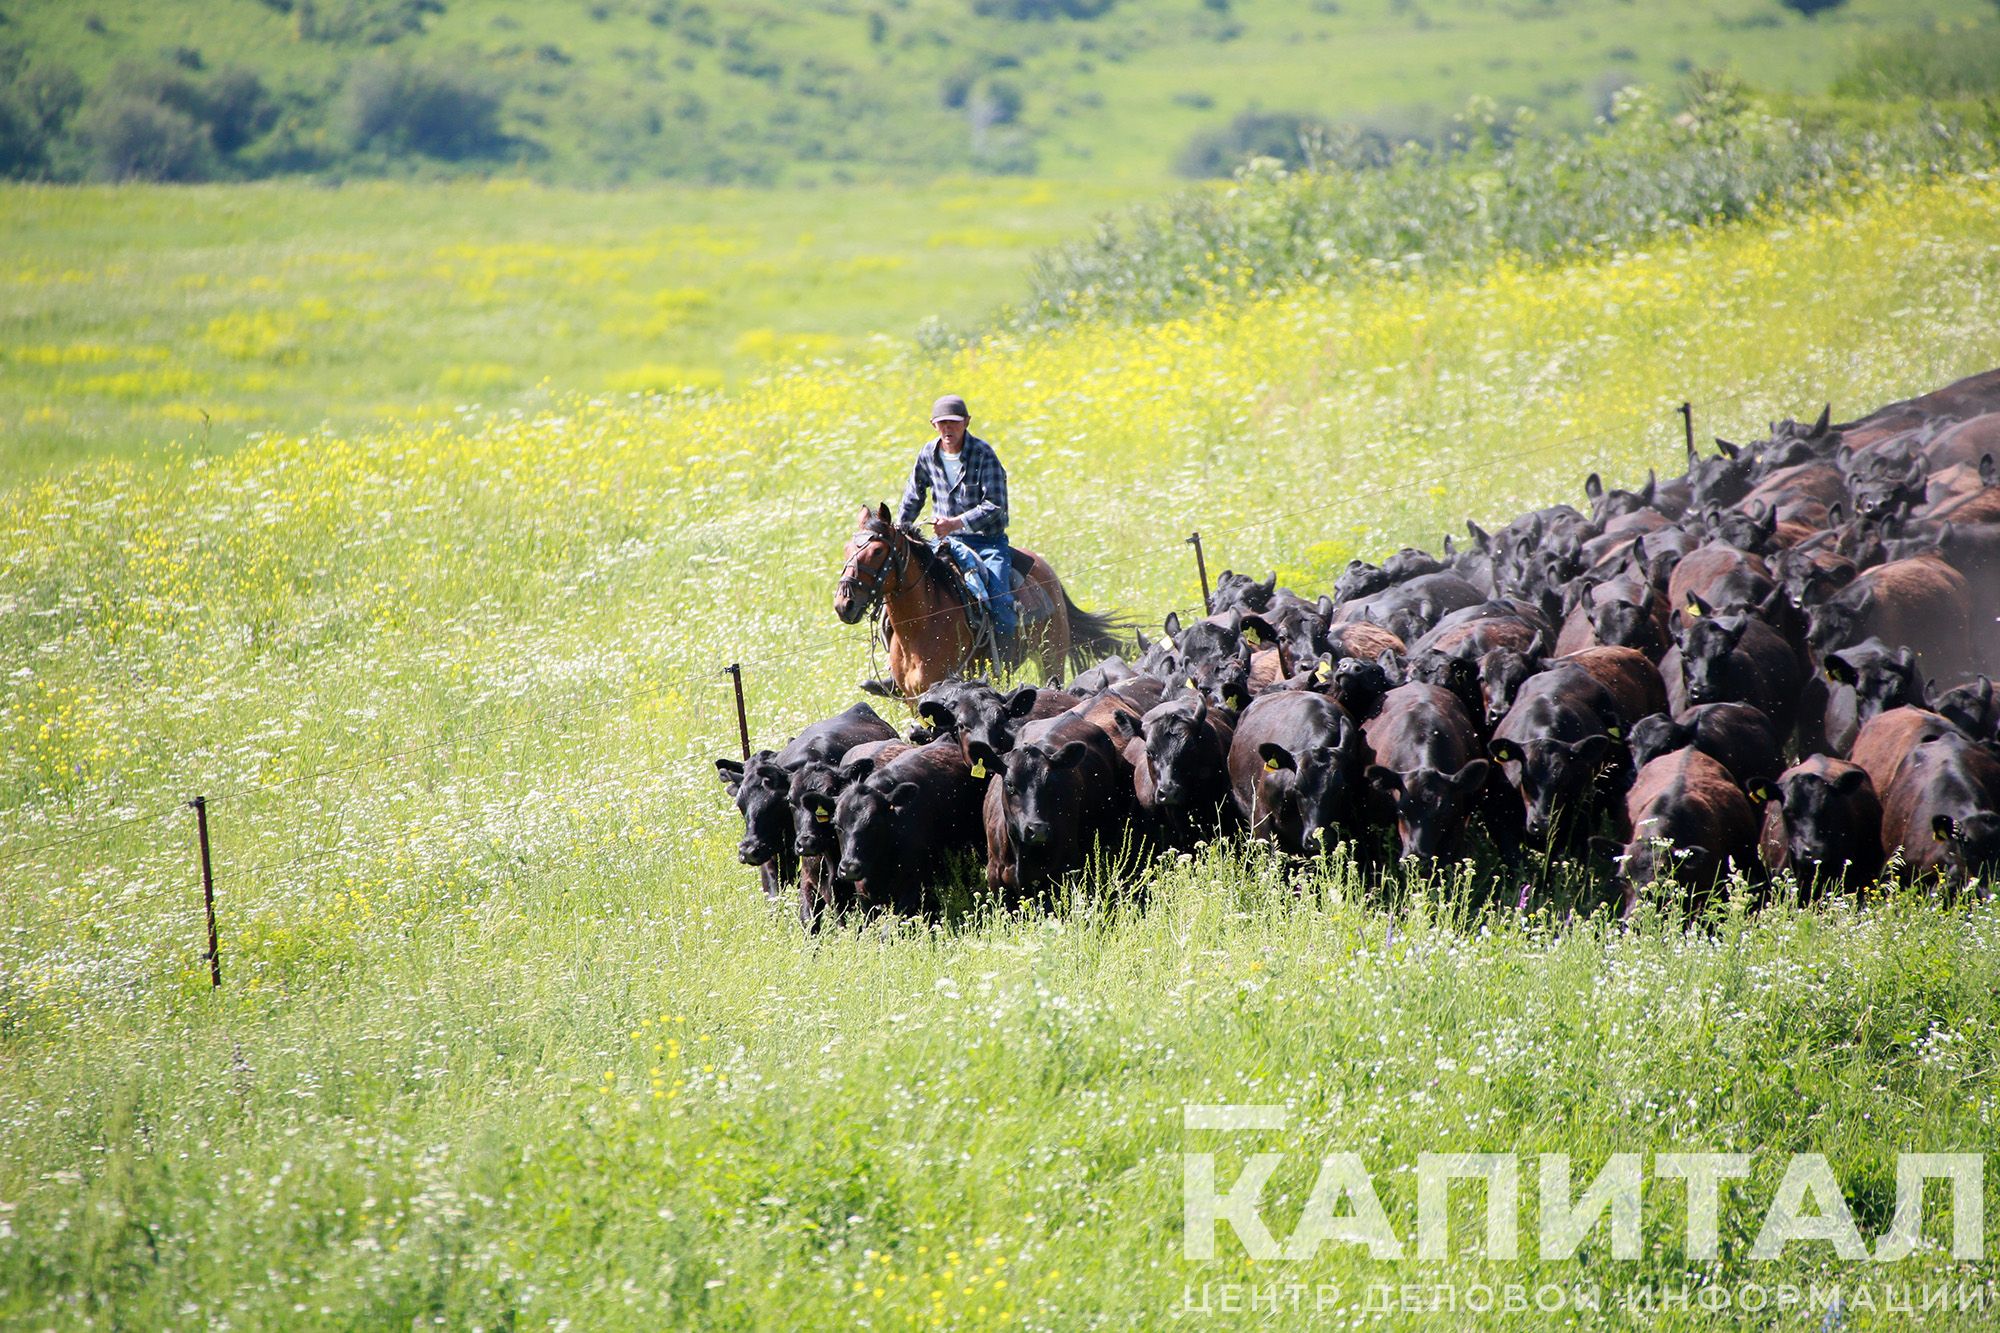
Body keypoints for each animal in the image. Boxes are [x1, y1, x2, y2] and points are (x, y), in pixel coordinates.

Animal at [832, 500, 1128, 696]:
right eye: (846, 548)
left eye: (878, 551)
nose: (844, 604)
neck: (921, 625)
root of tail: (1048, 572)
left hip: (1050, 656)